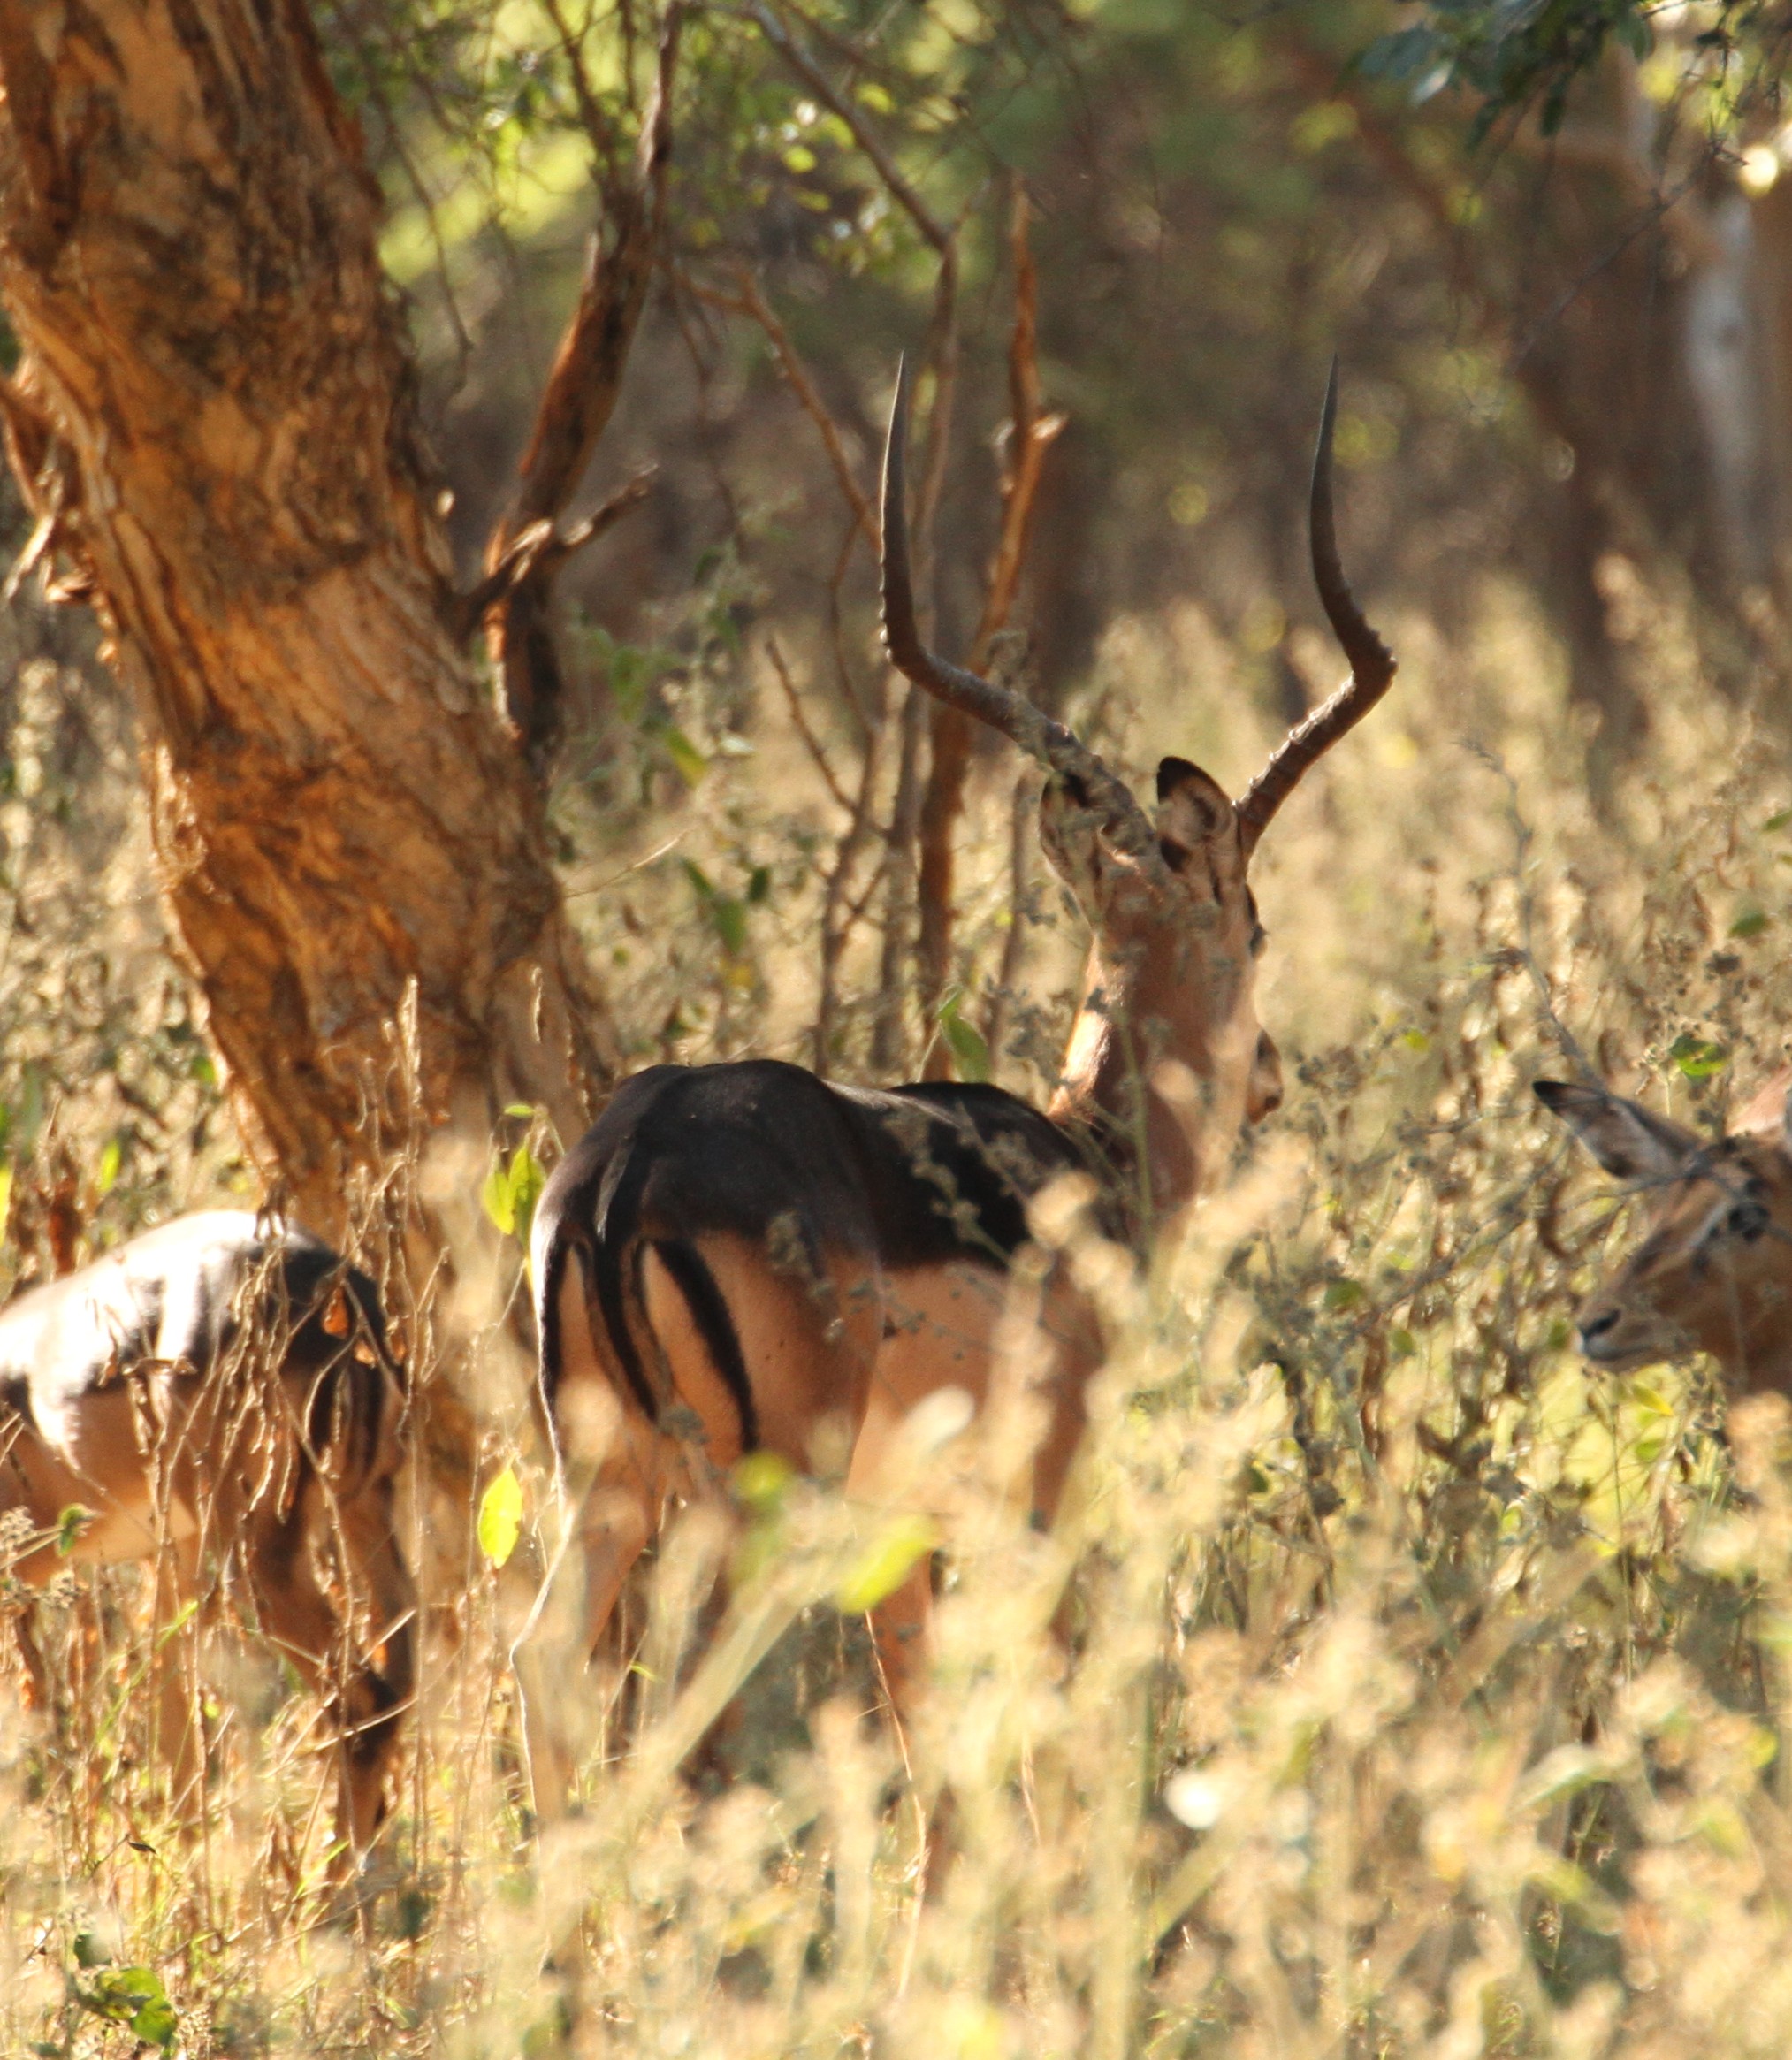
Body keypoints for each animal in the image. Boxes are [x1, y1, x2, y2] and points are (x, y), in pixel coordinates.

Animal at [0, 1210, 413, 1867]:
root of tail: (339, 1293)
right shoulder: (169, 1555)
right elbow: (176, 1734)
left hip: (256, 1550)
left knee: (358, 1702)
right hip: (363, 1510)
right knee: (394, 1687)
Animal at [526, 361, 1395, 1772]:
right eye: (1255, 926)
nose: (1267, 1070)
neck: (1087, 1160)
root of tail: (621, 1173)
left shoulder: (906, 1540)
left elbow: (931, 1741)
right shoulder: (1042, 1499)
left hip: (602, 1483)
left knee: (538, 1666)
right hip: (746, 1503)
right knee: (691, 1712)